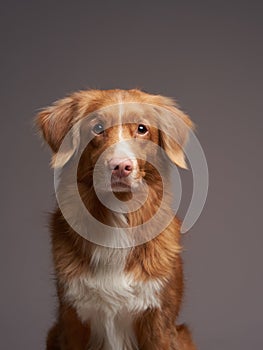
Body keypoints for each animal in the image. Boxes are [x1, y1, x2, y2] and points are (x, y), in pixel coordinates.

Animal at [37, 89, 198, 348]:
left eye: (142, 129)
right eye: (97, 127)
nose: (120, 166)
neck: (116, 217)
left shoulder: (158, 321)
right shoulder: (73, 320)